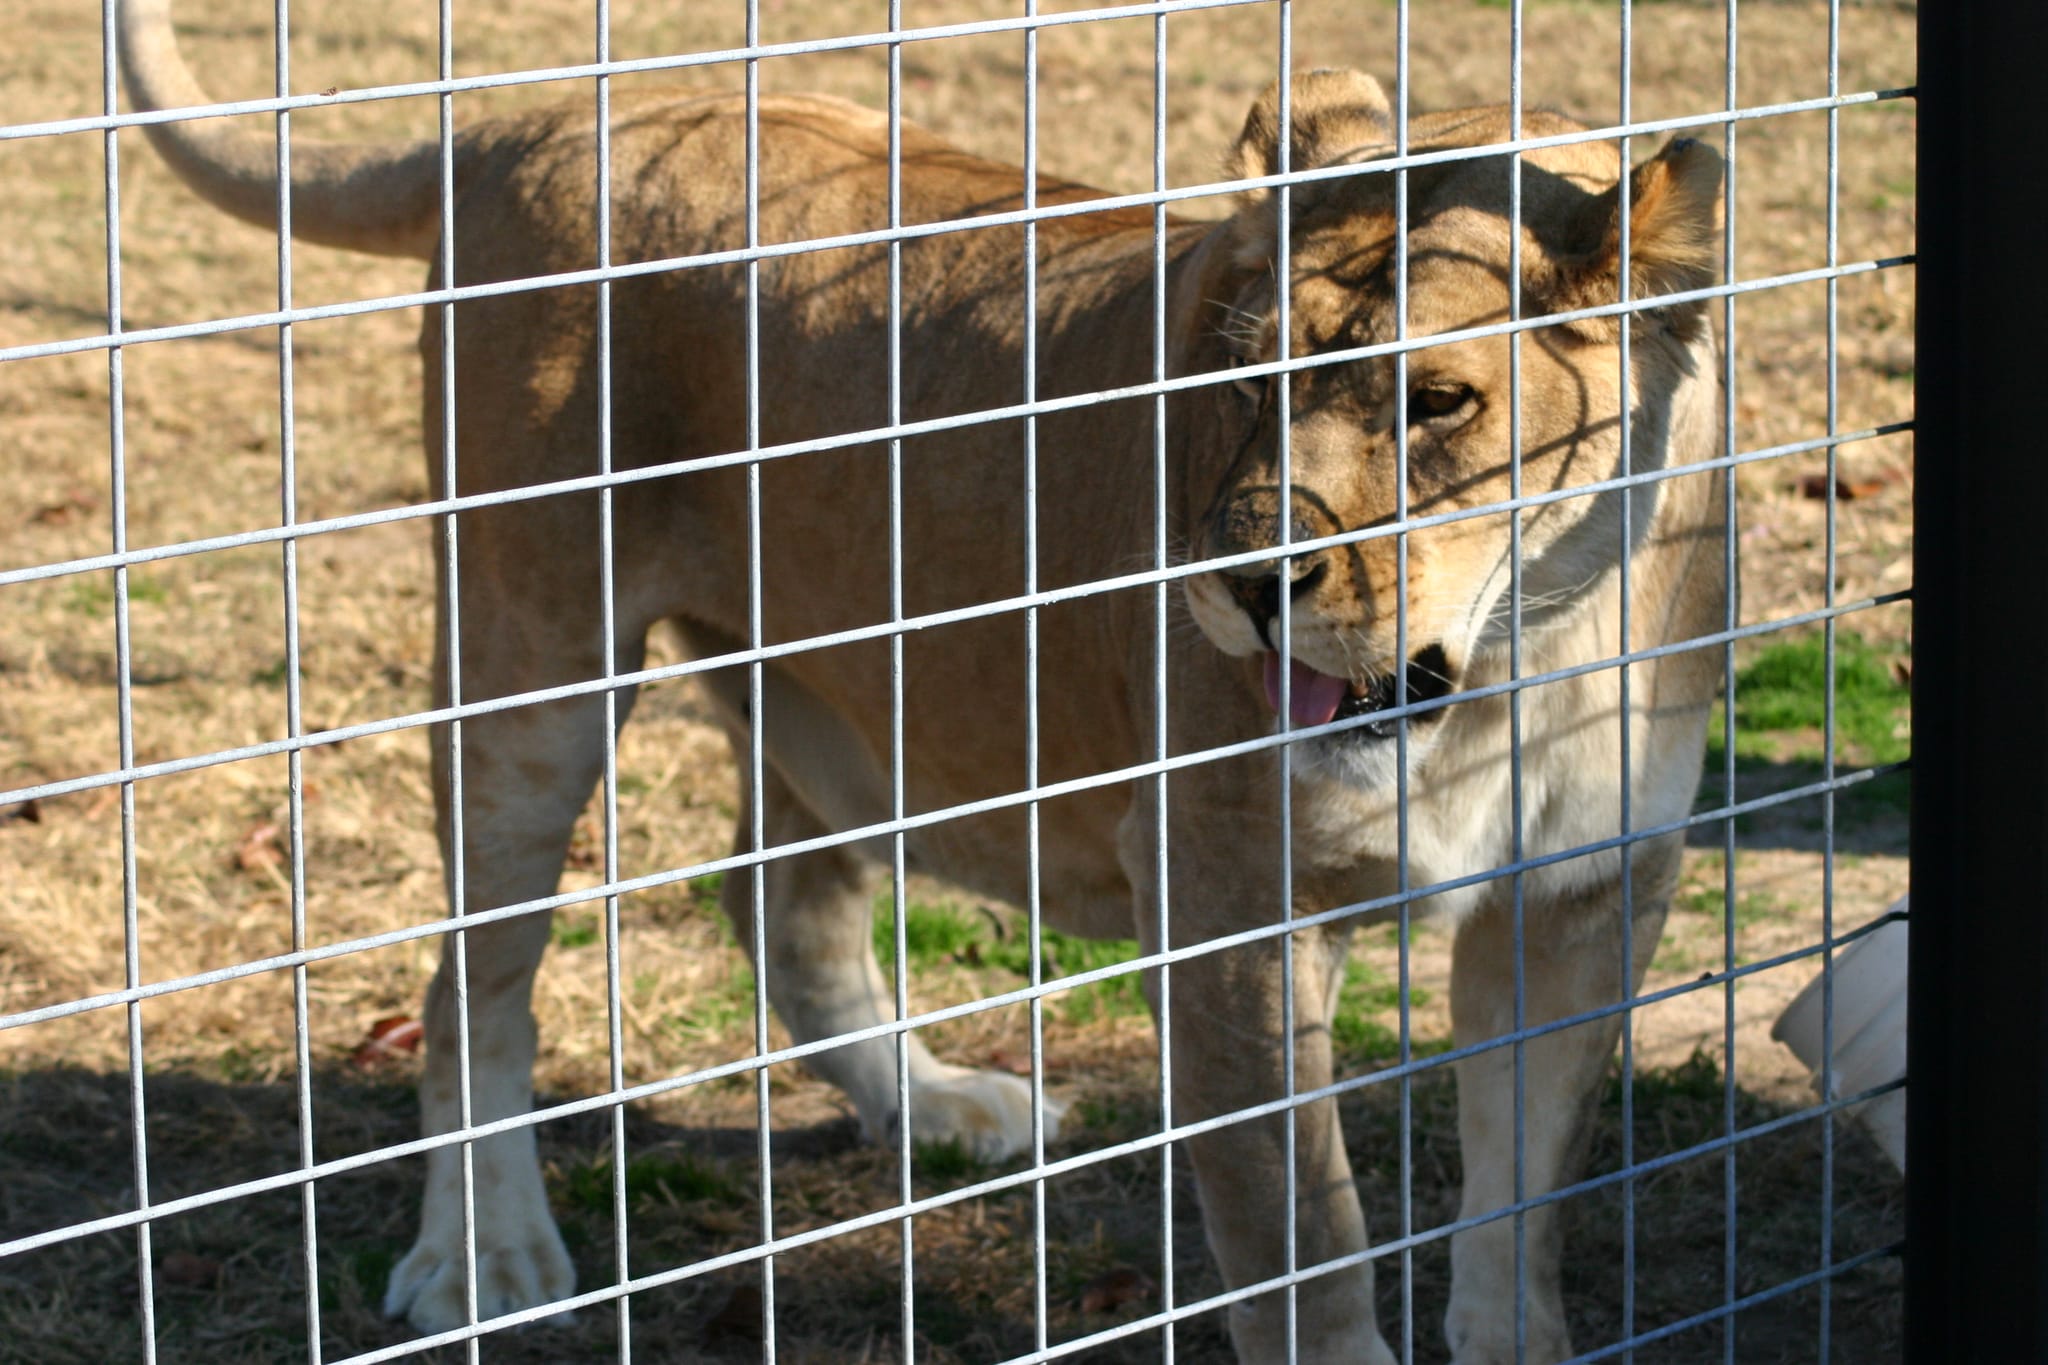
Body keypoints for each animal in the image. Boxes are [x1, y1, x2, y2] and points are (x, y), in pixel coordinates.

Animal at [122, 1, 1726, 1359]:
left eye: (1438, 400)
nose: (1239, 588)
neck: (1518, 660)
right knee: (476, 984)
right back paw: (483, 1260)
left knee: (777, 903)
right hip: (534, 668)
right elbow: (1305, 1252)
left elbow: (1519, 1212)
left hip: (843, 702)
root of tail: (554, 120)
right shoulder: (1227, 906)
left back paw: (938, 1106)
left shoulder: (1584, 897)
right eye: (1239, 377)